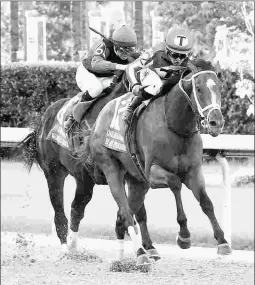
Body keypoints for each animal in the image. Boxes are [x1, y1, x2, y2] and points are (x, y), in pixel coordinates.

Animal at [86, 59, 232, 264]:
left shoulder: (194, 171)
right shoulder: (153, 173)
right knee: (126, 213)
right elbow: (175, 183)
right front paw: (184, 236)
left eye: (219, 87)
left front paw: (223, 242)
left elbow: (206, 202)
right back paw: (140, 253)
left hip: (137, 182)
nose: (216, 122)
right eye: (199, 89)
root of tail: (99, 118)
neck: (175, 126)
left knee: (125, 215)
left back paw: (131, 254)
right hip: (112, 169)